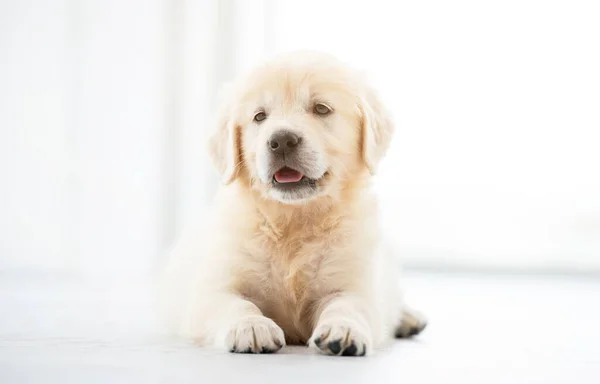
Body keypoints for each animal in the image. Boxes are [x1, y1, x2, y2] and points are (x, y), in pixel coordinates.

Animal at [161, 51, 426, 356]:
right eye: (259, 116)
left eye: (321, 109)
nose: (282, 140)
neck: (293, 219)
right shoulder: (213, 289)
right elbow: (235, 303)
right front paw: (252, 326)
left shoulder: (354, 282)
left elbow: (348, 305)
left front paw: (343, 329)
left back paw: (408, 318)